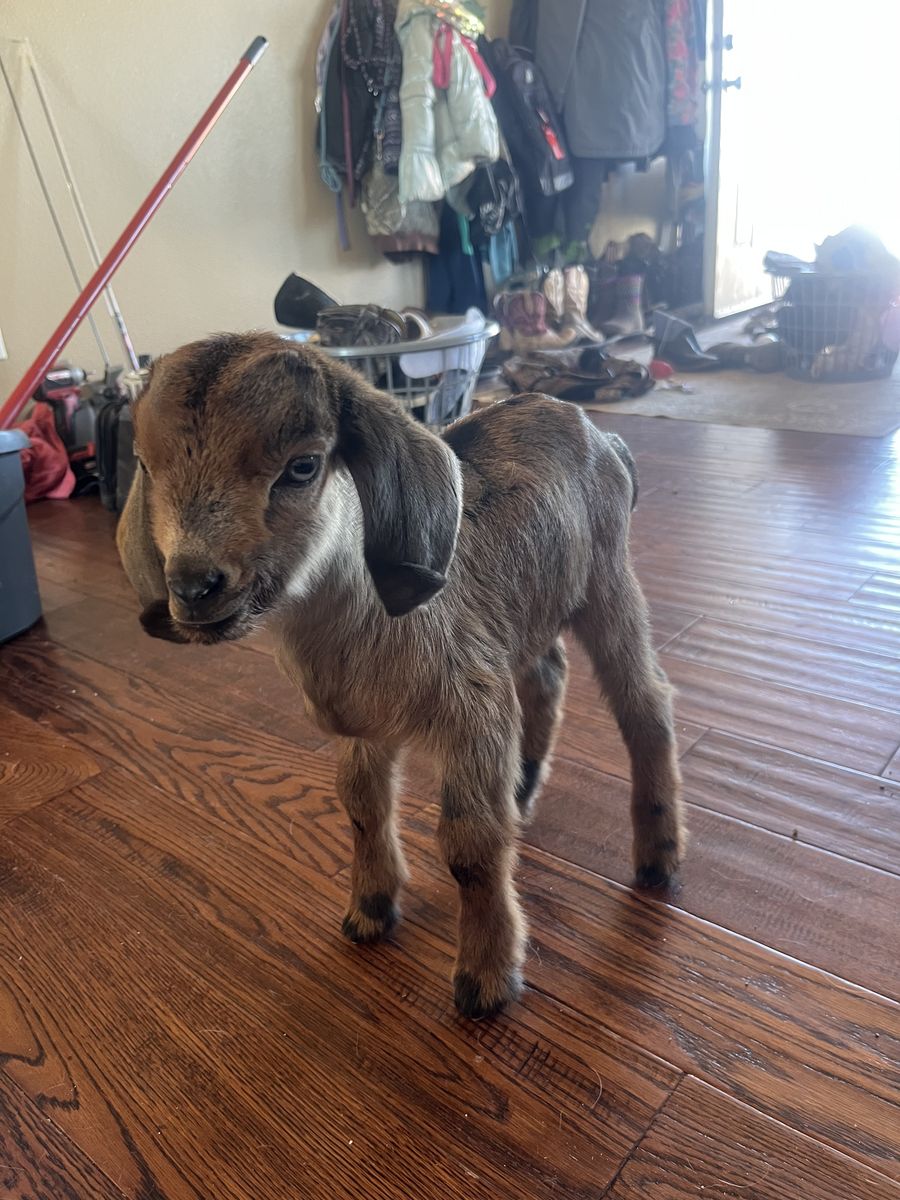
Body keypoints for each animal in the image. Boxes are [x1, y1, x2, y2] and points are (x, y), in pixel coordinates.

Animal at [117, 332, 684, 1018]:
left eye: (303, 466)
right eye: (146, 465)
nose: (193, 587)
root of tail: (602, 435)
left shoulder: (473, 713)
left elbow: (469, 846)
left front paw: (485, 981)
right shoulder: (367, 727)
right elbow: (361, 806)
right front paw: (369, 911)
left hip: (607, 580)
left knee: (646, 703)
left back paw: (657, 859)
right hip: (529, 611)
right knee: (548, 673)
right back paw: (523, 790)